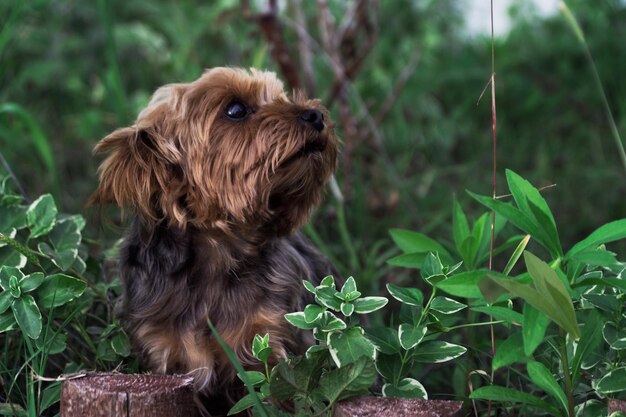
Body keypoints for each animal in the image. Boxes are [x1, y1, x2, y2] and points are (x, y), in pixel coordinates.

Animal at [89, 67, 336, 412]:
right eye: (235, 110)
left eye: (281, 96)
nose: (315, 114)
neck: (220, 253)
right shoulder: (166, 354)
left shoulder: (271, 343)